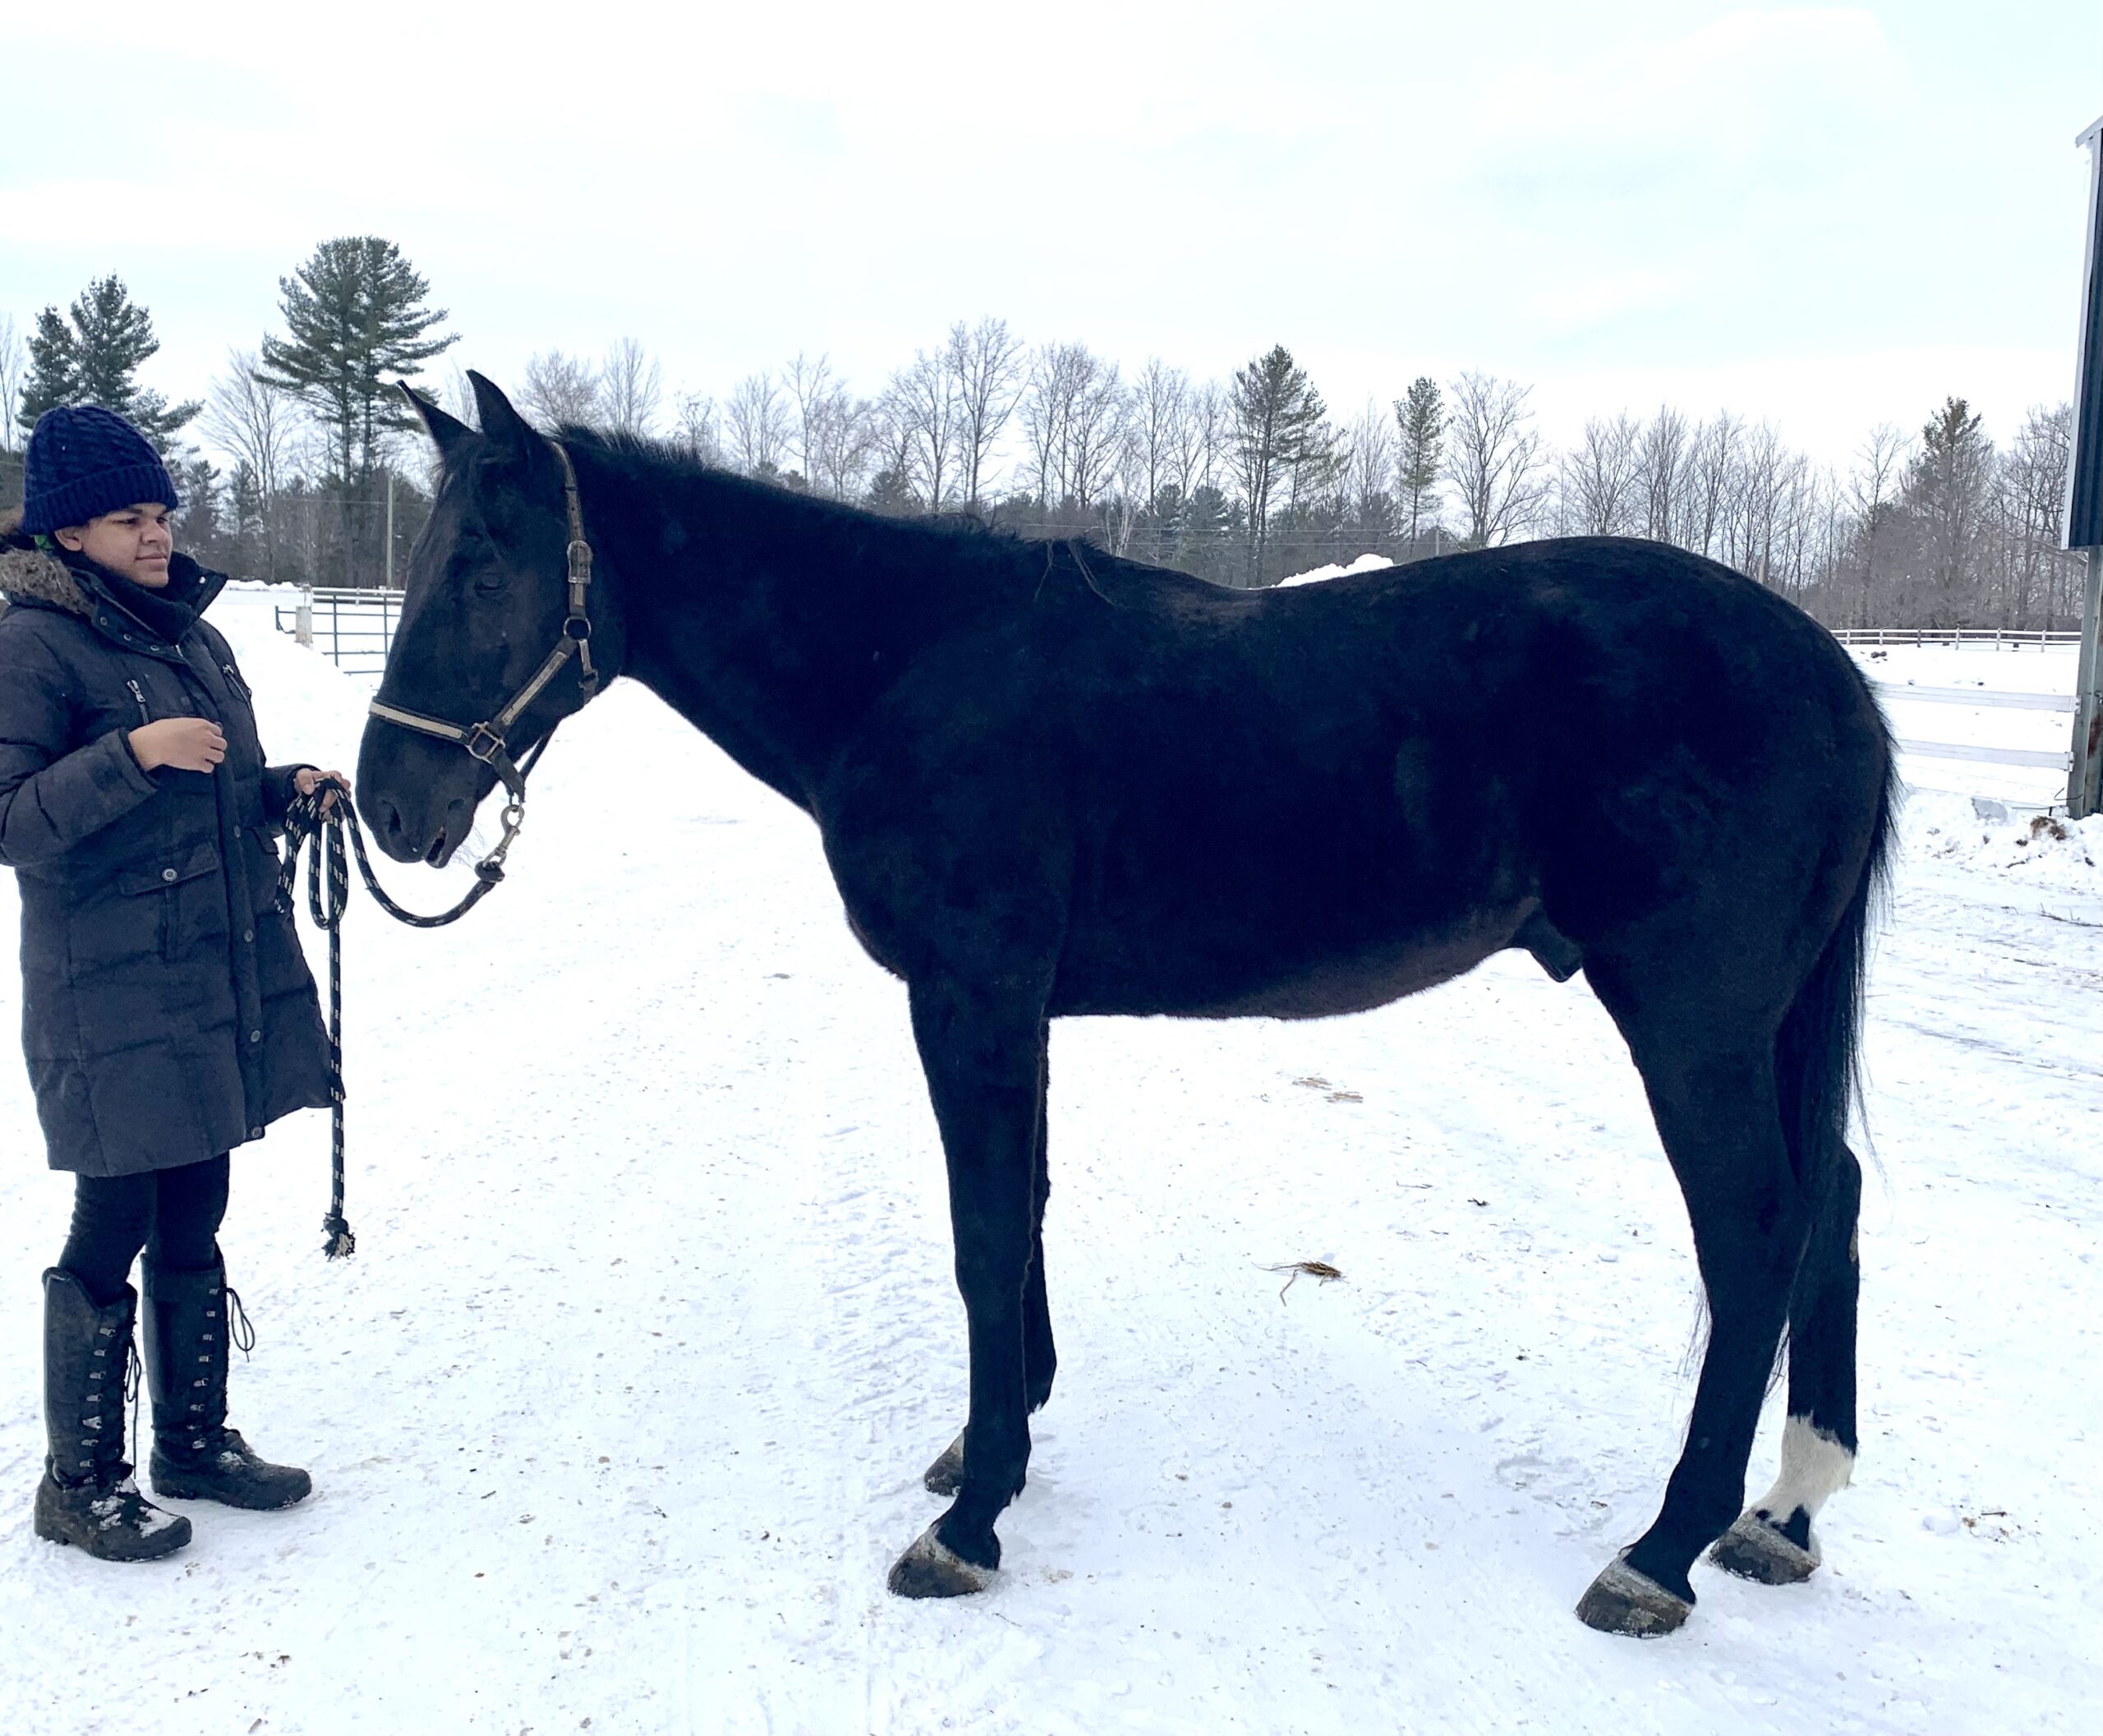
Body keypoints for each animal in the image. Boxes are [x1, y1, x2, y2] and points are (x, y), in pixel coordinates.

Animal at [356, 373, 1894, 1638]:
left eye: (482, 567)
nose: (387, 805)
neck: (906, 668)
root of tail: (1829, 674)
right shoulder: (1014, 1008)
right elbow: (1024, 1208)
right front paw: (993, 1447)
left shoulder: (971, 996)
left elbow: (983, 1234)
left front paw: (969, 1520)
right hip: (1759, 1026)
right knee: (1834, 1198)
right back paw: (1784, 1514)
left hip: (1693, 1023)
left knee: (1758, 1228)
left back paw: (1661, 1552)